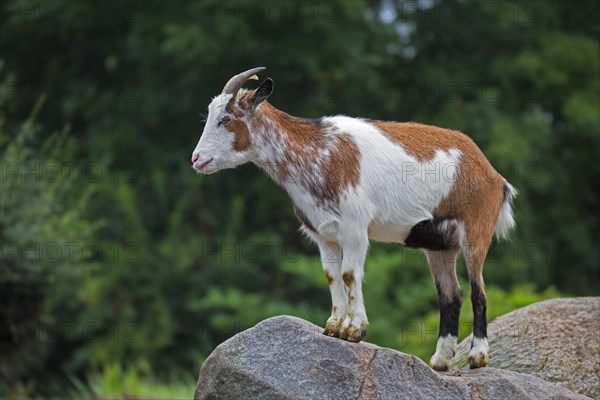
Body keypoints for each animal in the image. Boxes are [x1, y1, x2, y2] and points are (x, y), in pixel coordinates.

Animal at [191, 67, 516, 370]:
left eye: (226, 119)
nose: (196, 159)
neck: (318, 153)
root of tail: (493, 174)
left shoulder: (355, 227)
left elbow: (350, 273)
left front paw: (354, 329)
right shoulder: (323, 233)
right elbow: (332, 274)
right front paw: (334, 326)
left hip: (476, 228)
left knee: (478, 290)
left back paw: (477, 356)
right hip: (440, 244)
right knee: (451, 295)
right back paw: (440, 360)